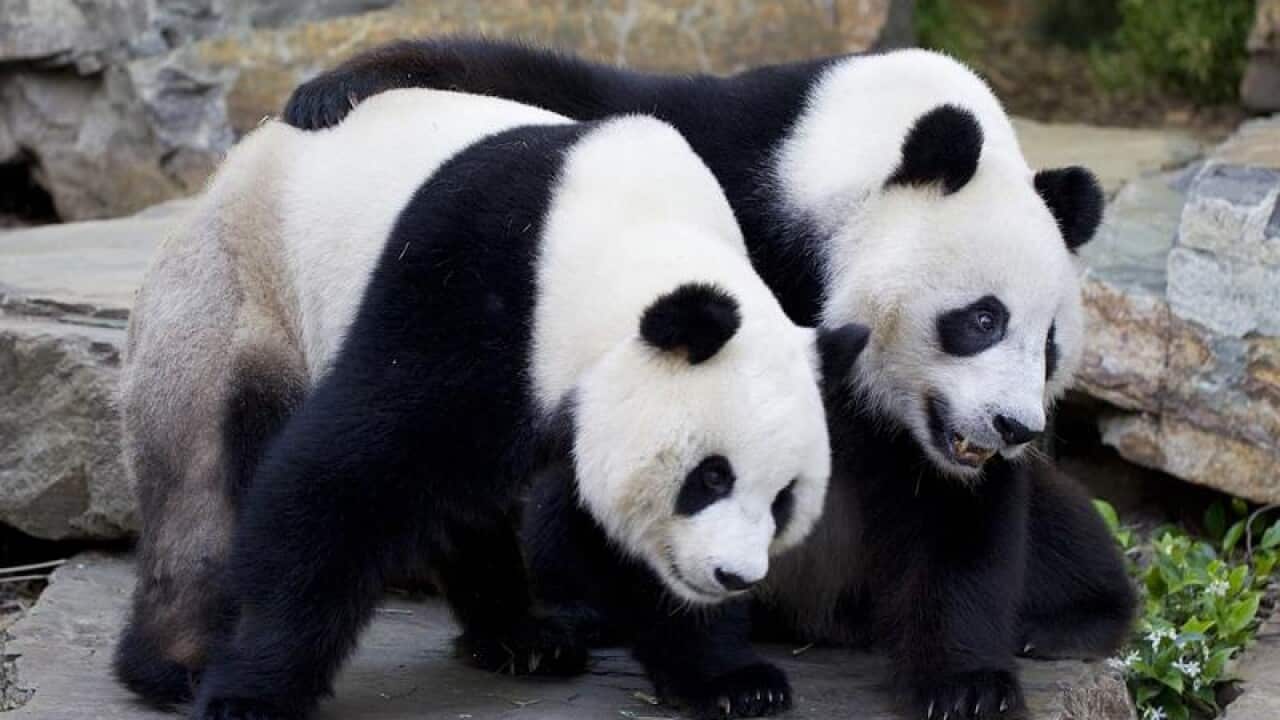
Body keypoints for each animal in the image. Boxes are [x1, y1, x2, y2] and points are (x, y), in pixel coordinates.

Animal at [115, 88, 870, 719]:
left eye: (784, 499)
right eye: (710, 476)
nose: (733, 576)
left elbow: (609, 531)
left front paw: (733, 679)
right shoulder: (471, 286)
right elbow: (339, 479)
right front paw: (251, 694)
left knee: (461, 502)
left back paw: (525, 636)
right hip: (237, 298)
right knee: (203, 490)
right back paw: (178, 665)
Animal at [284, 39, 1137, 718]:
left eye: (1051, 346)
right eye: (983, 319)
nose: (1015, 426)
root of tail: (821, 613)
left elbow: (959, 515)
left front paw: (966, 684)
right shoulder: (738, 168)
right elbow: (586, 100)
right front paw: (343, 87)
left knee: (1062, 528)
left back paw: (1064, 621)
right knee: (567, 514)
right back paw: (578, 615)